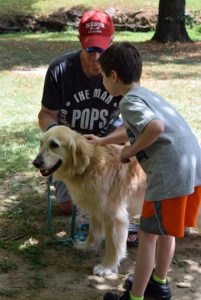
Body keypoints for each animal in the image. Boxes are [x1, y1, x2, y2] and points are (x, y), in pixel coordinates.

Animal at [33, 125, 146, 276]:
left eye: (54, 145)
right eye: (41, 143)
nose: (35, 163)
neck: (89, 165)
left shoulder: (114, 218)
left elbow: (113, 246)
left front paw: (107, 267)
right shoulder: (95, 210)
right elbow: (93, 232)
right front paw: (87, 246)